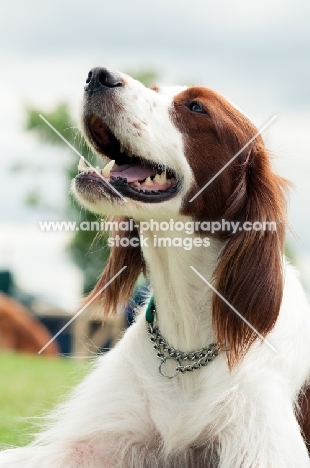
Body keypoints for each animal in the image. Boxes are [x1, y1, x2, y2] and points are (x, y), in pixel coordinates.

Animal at [1, 67, 310, 466]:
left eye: (196, 107)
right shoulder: (88, 443)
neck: (186, 344)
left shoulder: (264, 447)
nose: (97, 75)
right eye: (154, 89)